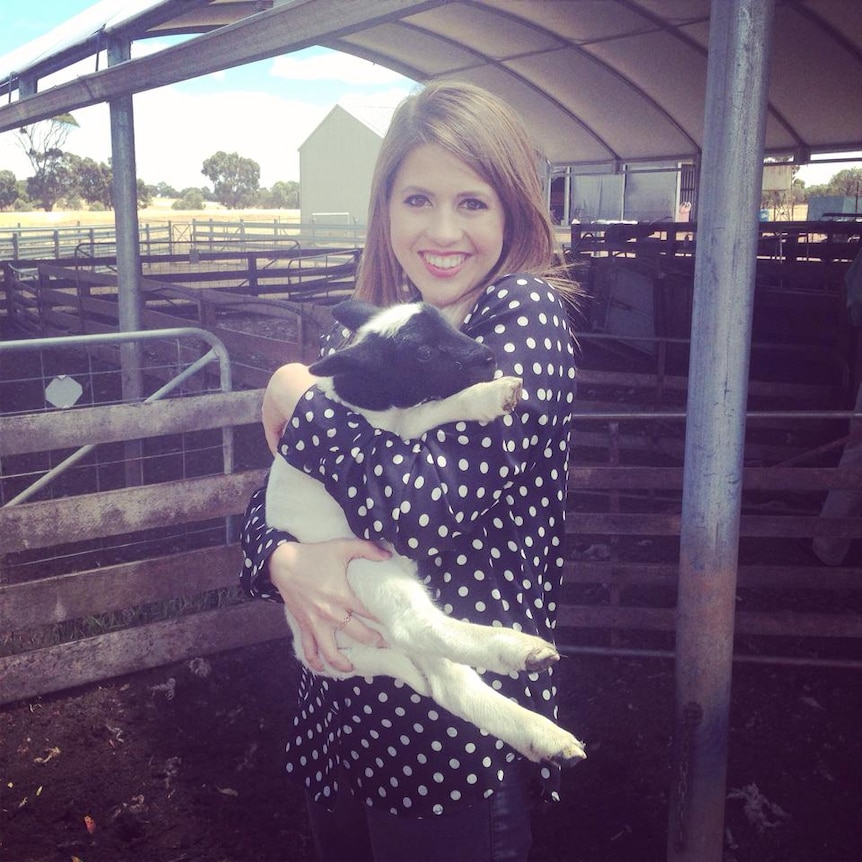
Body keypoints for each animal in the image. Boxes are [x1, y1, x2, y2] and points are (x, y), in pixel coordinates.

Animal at [266, 302, 584, 768]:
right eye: (423, 354)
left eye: (447, 324)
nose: (488, 357)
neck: (359, 397)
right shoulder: (387, 440)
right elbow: (424, 413)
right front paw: (491, 394)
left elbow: (427, 410)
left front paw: (491, 392)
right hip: (362, 571)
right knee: (417, 624)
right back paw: (520, 650)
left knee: (451, 685)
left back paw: (542, 736)